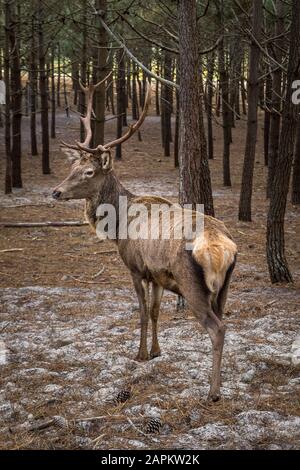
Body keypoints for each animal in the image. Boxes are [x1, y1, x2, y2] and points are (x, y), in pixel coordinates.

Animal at [52, 76, 238, 400]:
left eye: (88, 172)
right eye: (72, 167)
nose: (56, 191)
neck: (118, 227)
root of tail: (220, 244)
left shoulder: (136, 267)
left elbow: (140, 311)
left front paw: (139, 354)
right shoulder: (158, 275)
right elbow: (154, 311)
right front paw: (156, 351)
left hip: (192, 285)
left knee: (217, 328)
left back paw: (213, 391)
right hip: (224, 286)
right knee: (224, 320)